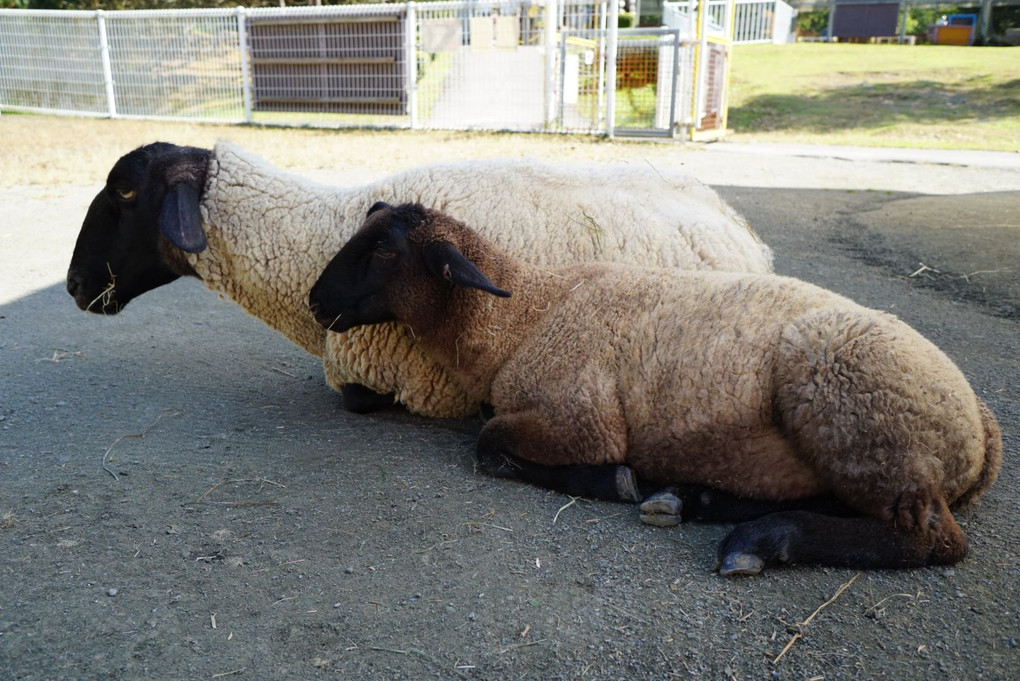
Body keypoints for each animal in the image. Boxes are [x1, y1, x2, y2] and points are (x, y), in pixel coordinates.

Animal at [306, 201, 999, 574]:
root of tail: (982, 425)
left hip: (861, 417)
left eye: (384, 253)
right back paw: (697, 500)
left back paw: (757, 539)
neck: (523, 315)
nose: (315, 301)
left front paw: (615, 481)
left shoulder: (582, 417)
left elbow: (490, 442)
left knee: (930, 539)